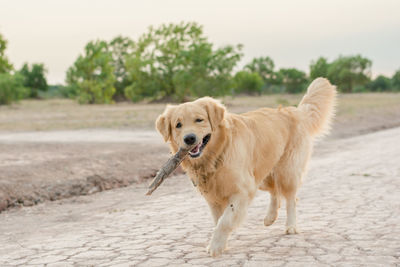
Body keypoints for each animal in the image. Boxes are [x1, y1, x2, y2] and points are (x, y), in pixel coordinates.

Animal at [155, 77, 336, 258]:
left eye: (199, 120)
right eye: (178, 125)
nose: (189, 138)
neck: (218, 154)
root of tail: (294, 111)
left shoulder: (243, 190)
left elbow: (225, 220)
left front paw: (215, 246)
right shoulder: (214, 197)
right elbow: (218, 220)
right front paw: (221, 243)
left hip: (286, 172)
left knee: (291, 198)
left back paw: (291, 226)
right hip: (261, 175)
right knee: (275, 192)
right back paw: (270, 217)